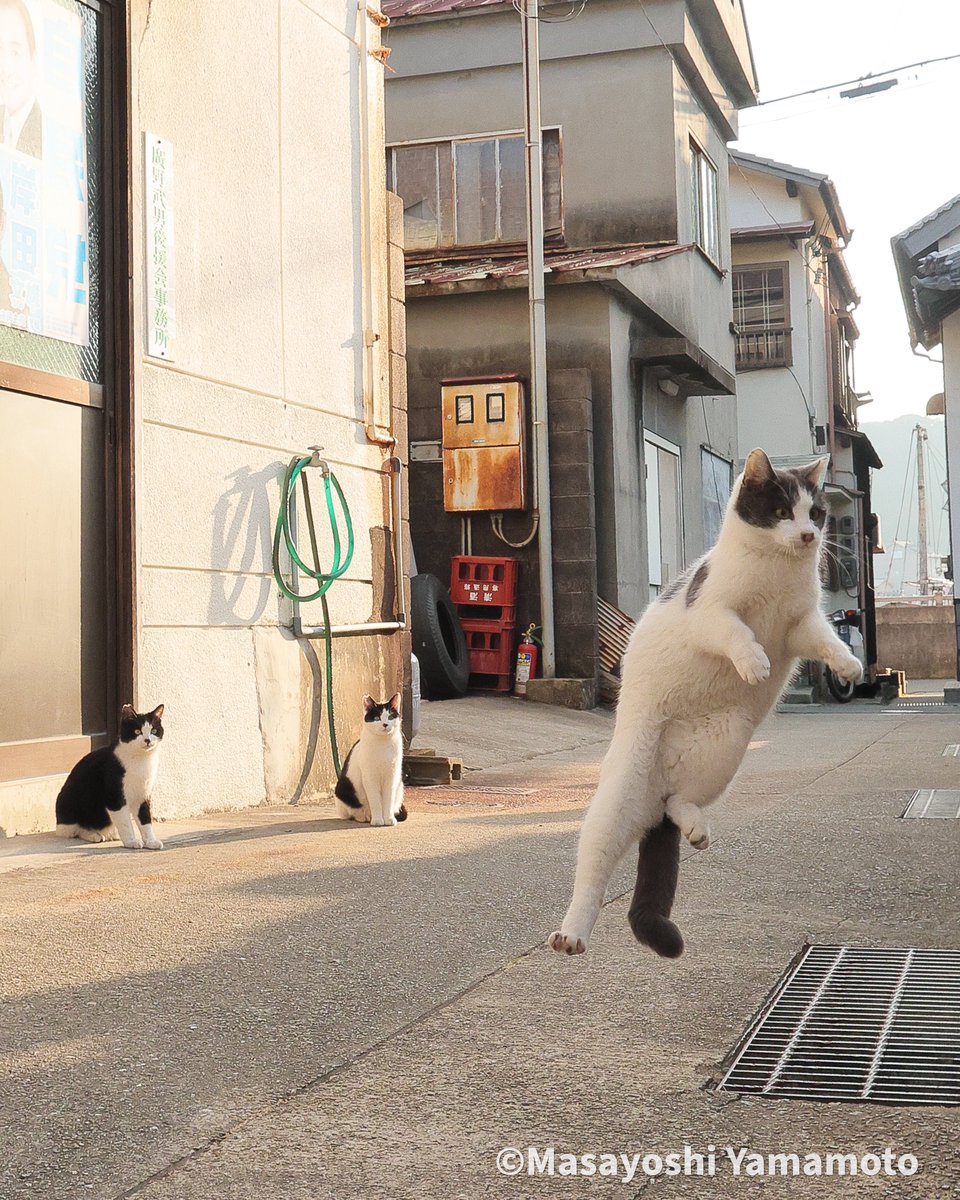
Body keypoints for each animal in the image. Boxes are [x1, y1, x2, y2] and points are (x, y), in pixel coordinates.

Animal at [56, 700, 165, 854]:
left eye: (154, 731)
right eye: (137, 731)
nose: (147, 740)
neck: (141, 760)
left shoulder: (143, 794)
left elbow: (145, 820)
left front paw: (151, 841)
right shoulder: (114, 795)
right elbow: (125, 822)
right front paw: (131, 841)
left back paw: (111, 834)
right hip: (69, 802)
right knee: (73, 831)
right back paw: (93, 835)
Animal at [333, 696, 408, 825]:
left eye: (390, 717)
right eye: (377, 718)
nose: (385, 724)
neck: (382, 744)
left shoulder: (391, 777)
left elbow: (388, 800)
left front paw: (389, 819)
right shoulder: (370, 778)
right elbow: (375, 801)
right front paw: (377, 820)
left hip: (399, 786)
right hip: (343, 789)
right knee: (353, 812)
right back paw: (365, 816)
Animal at [547, 446, 864, 960]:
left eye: (815, 512)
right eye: (782, 511)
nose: (808, 535)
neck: (777, 571)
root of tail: (654, 796)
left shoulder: (800, 624)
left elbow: (827, 639)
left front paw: (849, 665)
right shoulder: (710, 611)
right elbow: (735, 631)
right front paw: (753, 662)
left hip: (726, 746)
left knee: (680, 801)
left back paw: (695, 827)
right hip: (617, 798)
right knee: (593, 869)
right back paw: (572, 932)